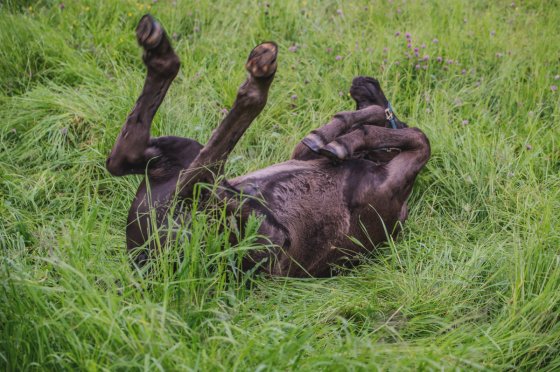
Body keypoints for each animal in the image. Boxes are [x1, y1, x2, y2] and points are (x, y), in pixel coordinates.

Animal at [106, 15, 428, 276]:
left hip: (262, 235)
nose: (363, 81)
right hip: (190, 166)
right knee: (149, 161)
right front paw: (338, 135)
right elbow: (398, 129)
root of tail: (146, 261)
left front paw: (344, 137)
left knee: (181, 172)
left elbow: (419, 138)